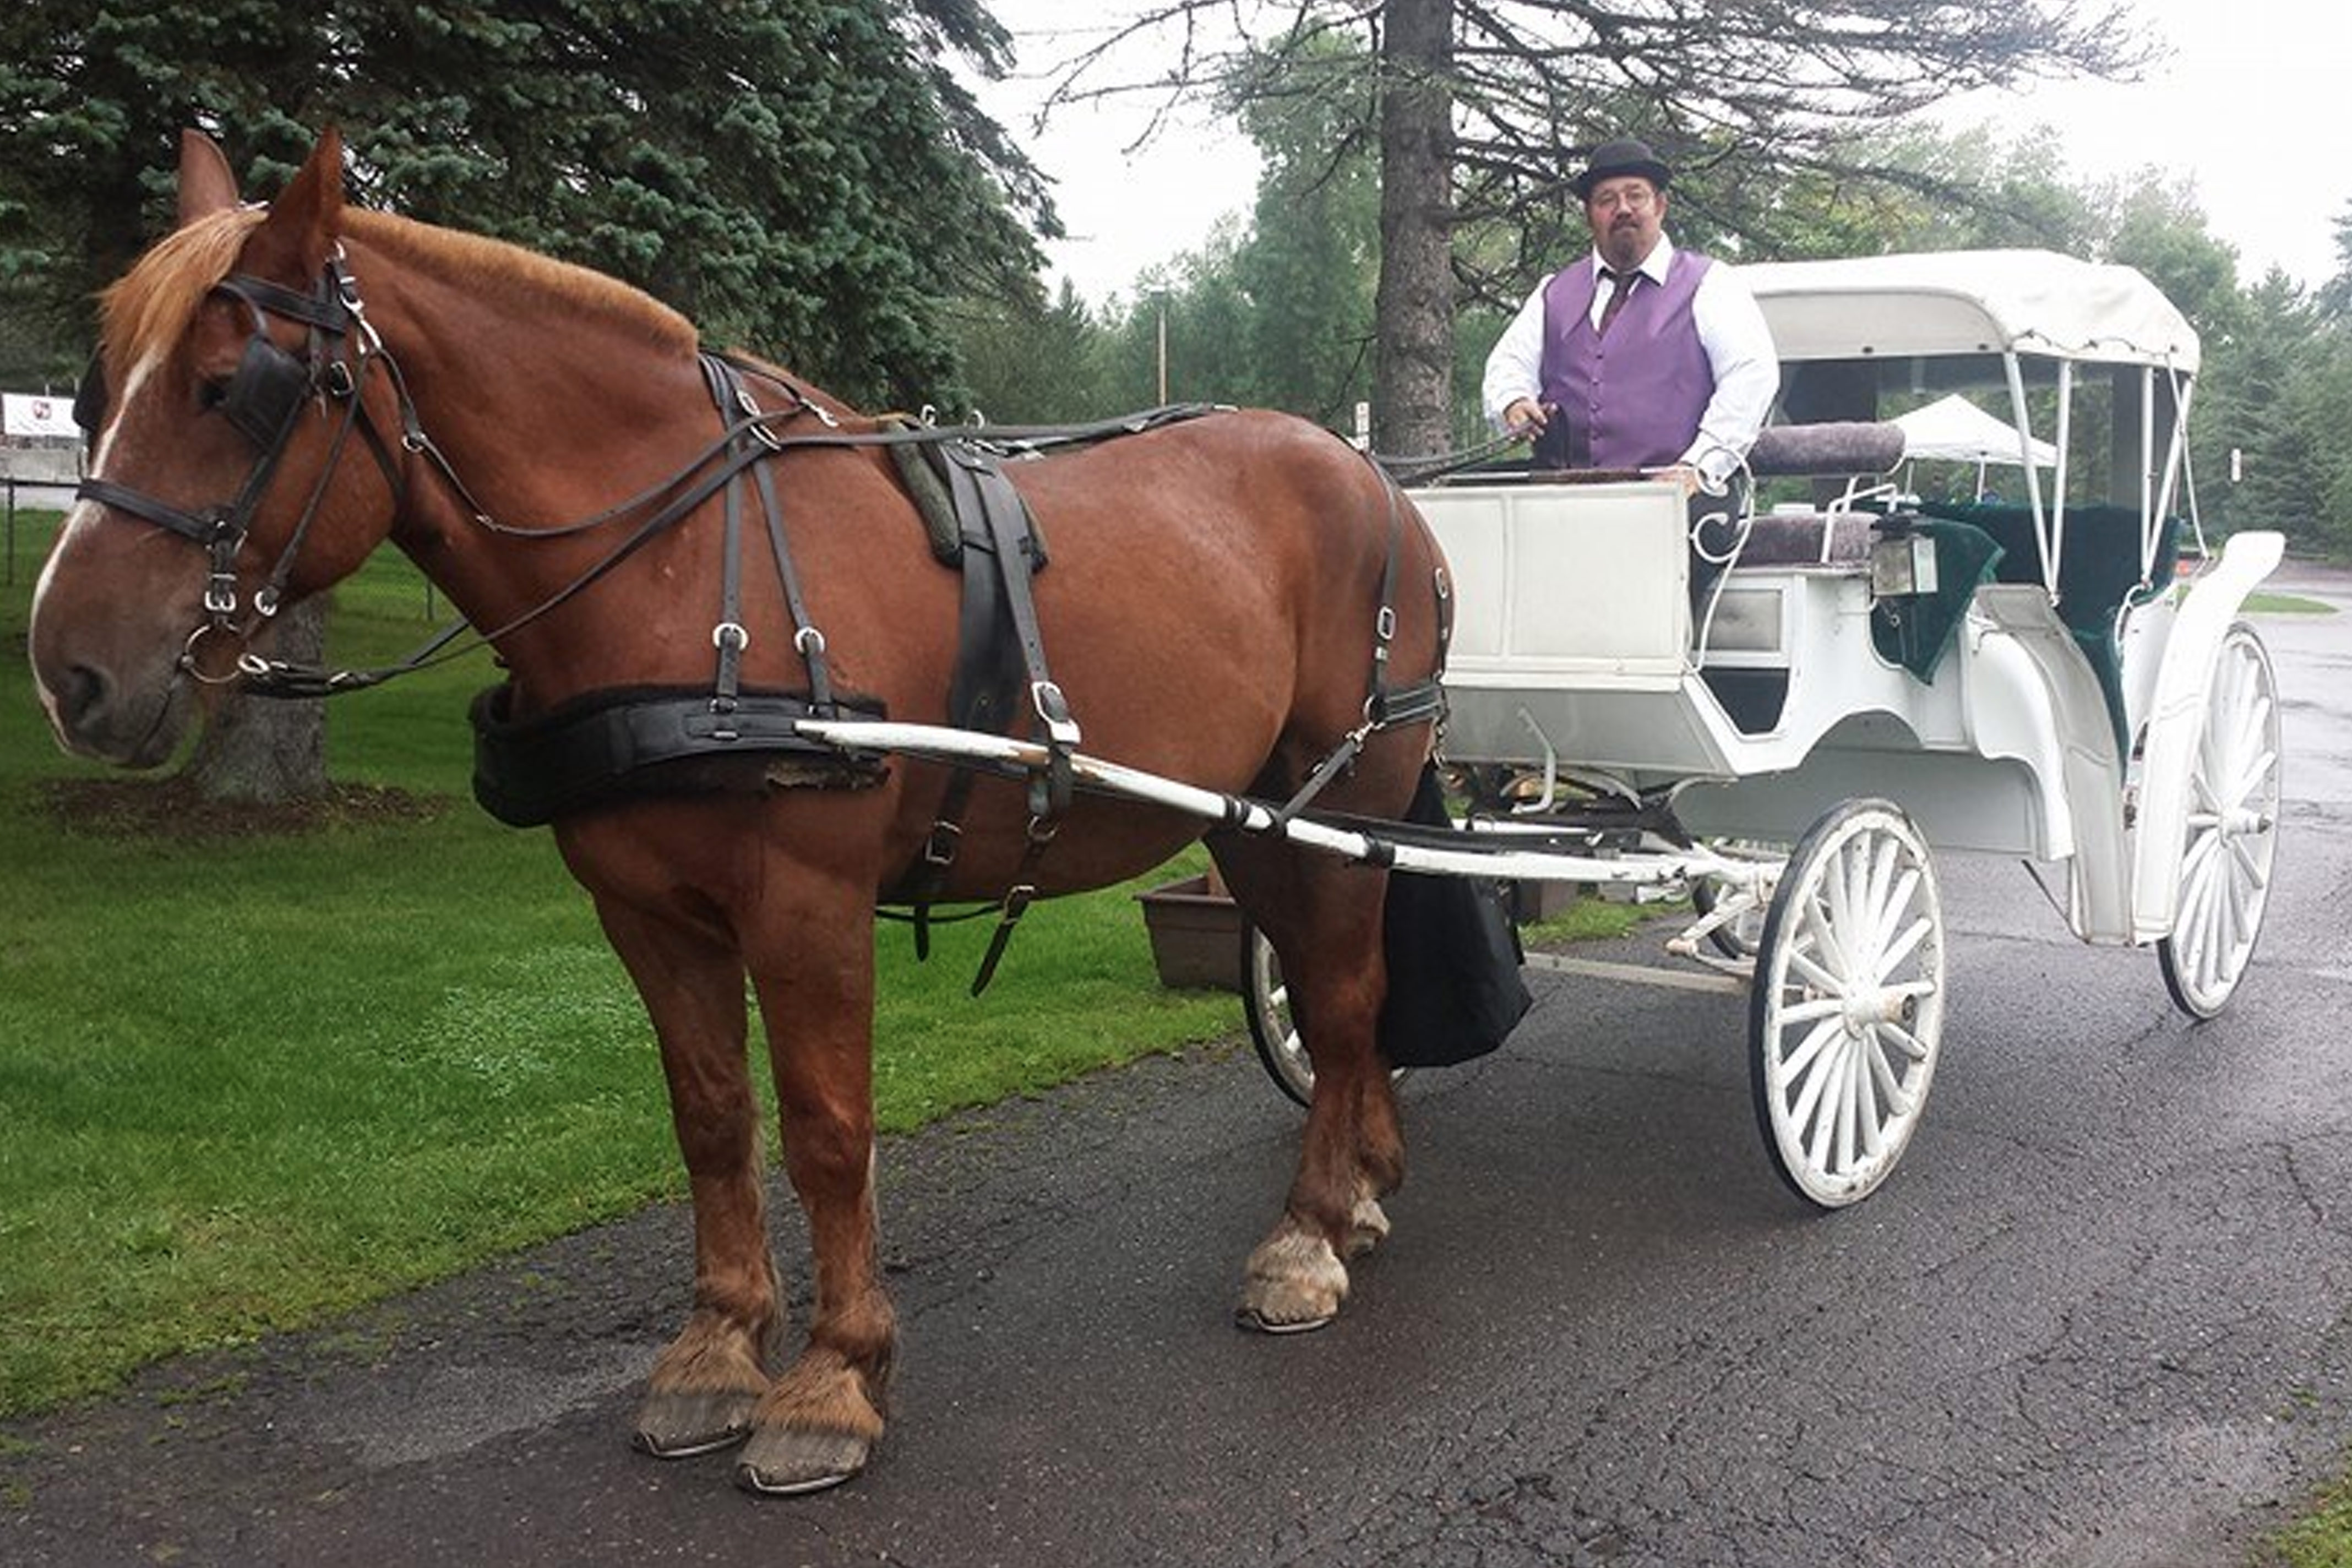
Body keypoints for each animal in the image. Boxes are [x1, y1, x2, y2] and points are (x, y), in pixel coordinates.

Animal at [28, 128, 1449, 1495]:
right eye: (95, 392)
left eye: (234, 388)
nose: (69, 669)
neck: (675, 566)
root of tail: (1376, 477)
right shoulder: (645, 908)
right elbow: (711, 1118)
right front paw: (715, 1352)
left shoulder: (806, 899)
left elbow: (826, 1128)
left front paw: (833, 1377)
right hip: (1256, 817)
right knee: (1336, 986)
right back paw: (1364, 1188)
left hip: (1351, 790)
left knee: (1343, 994)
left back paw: (1310, 1235)